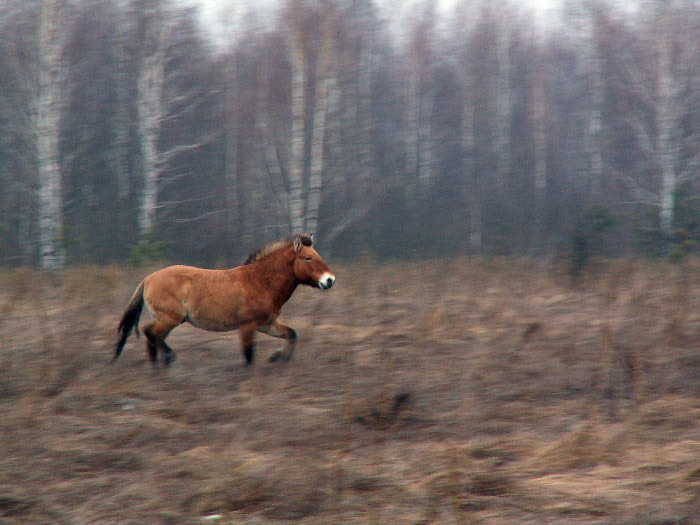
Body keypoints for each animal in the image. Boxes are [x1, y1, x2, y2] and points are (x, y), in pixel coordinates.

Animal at [113, 234, 335, 366]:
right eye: (308, 258)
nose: (329, 280)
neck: (260, 281)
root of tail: (148, 279)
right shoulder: (248, 326)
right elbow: (249, 355)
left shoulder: (266, 324)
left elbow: (292, 334)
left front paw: (277, 358)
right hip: (170, 318)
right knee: (150, 332)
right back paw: (169, 358)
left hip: (169, 320)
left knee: (152, 337)